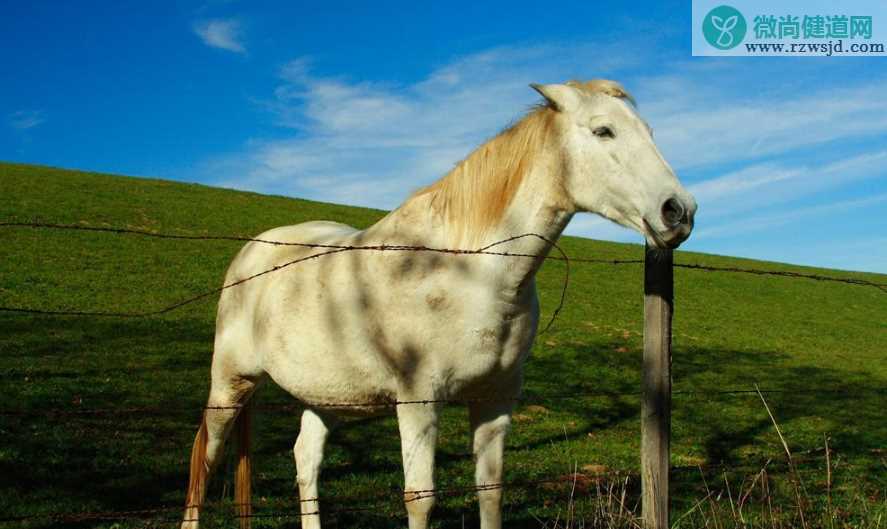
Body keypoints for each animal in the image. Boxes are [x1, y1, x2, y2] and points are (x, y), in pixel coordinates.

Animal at [180, 79, 692, 528]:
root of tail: (253, 251)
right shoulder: (418, 401)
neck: (469, 270)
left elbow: (490, 492)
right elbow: (420, 499)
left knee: (305, 460)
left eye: (648, 132)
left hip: (324, 396)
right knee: (203, 461)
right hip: (230, 384)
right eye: (603, 131)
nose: (679, 211)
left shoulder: (495, 400)